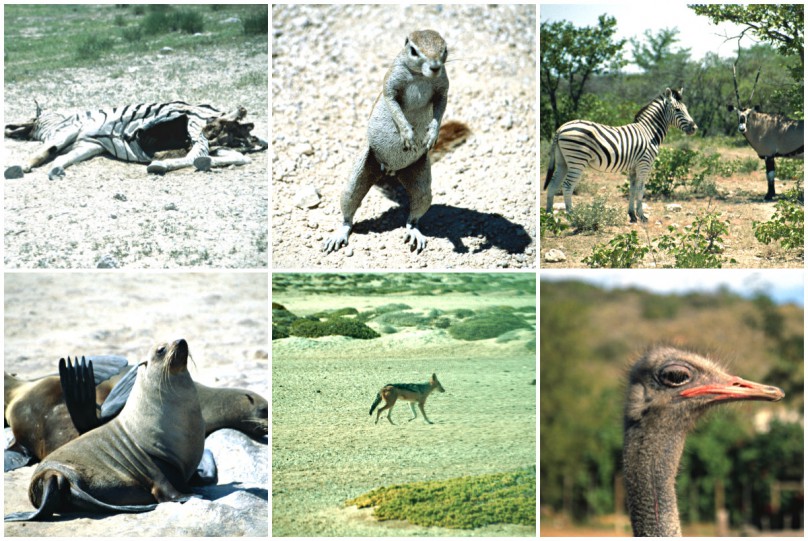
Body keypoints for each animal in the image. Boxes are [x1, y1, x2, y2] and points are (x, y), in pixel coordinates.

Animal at [4, 99, 266, 179]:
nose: (9, 129)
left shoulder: (70, 130)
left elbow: (47, 150)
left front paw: (22, 166)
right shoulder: (89, 145)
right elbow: (62, 157)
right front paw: (56, 169)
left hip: (194, 123)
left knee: (198, 151)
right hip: (215, 145)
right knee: (229, 156)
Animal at [322, 30, 448, 255]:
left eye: (445, 50)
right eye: (413, 51)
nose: (435, 67)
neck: (421, 76)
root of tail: (390, 171)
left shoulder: (443, 86)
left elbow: (441, 106)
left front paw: (432, 134)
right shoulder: (392, 82)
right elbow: (393, 105)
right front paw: (407, 133)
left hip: (420, 178)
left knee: (414, 213)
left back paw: (414, 231)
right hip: (363, 167)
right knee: (348, 211)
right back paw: (340, 233)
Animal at [548, 87, 696, 223]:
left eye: (686, 109)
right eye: (678, 110)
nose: (694, 128)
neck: (649, 132)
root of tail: (560, 128)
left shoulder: (633, 167)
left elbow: (632, 189)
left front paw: (632, 215)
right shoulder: (644, 164)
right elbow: (640, 189)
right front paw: (642, 216)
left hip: (563, 162)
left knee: (553, 184)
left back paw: (549, 216)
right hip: (577, 160)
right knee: (567, 186)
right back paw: (572, 217)